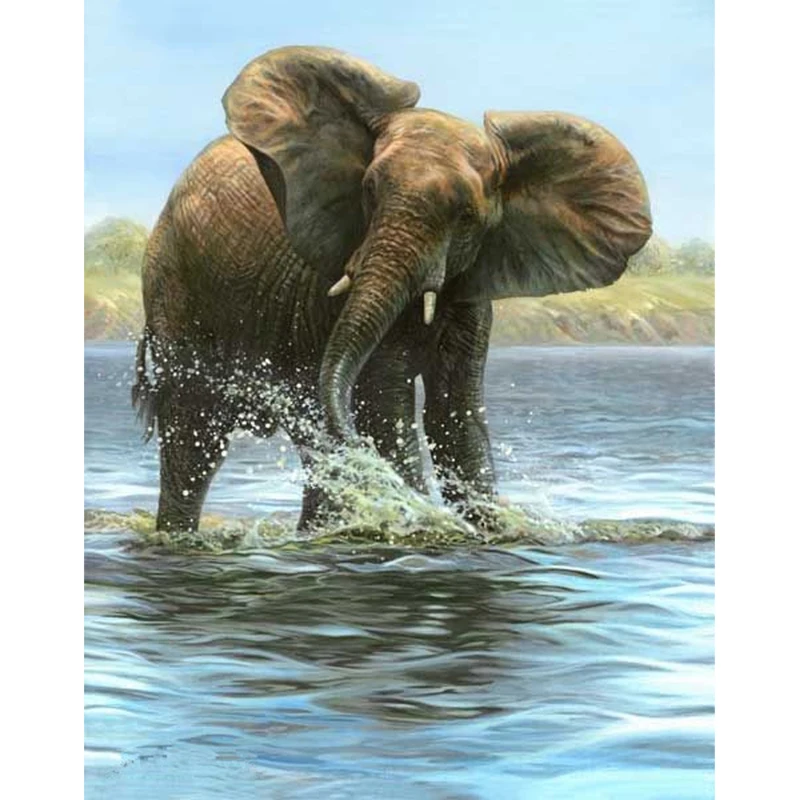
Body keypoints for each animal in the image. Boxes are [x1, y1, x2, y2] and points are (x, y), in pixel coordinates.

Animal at [132, 46, 651, 533]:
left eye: (467, 217)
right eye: (368, 192)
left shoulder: (471, 290)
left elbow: (456, 417)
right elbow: (386, 403)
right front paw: (422, 521)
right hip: (173, 286)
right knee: (194, 435)